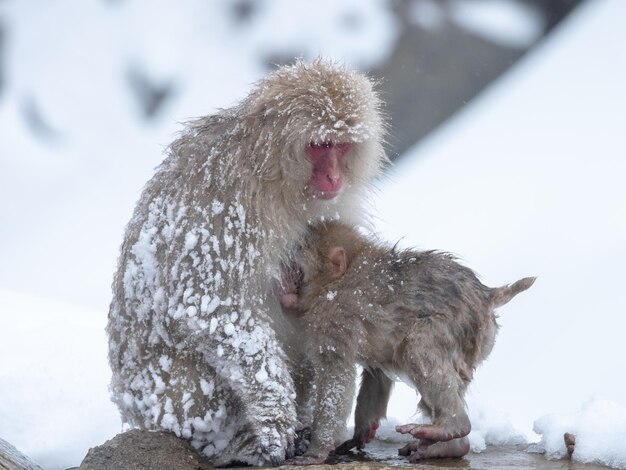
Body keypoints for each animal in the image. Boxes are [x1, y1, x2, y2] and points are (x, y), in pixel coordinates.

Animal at [108, 59, 386, 466]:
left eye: (343, 145)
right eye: (320, 146)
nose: (335, 176)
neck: (275, 177)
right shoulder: (225, 198)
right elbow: (209, 304)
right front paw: (275, 410)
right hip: (157, 401)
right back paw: (233, 444)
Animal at [280, 221, 532, 462]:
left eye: (295, 267)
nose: (283, 282)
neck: (335, 282)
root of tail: (487, 296)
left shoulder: (334, 316)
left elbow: (336, 374)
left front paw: (315, 452)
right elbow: (376, 373)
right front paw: (362, 431)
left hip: (457, 327)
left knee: (419, 347)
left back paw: (452, 426)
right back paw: (452, 446)